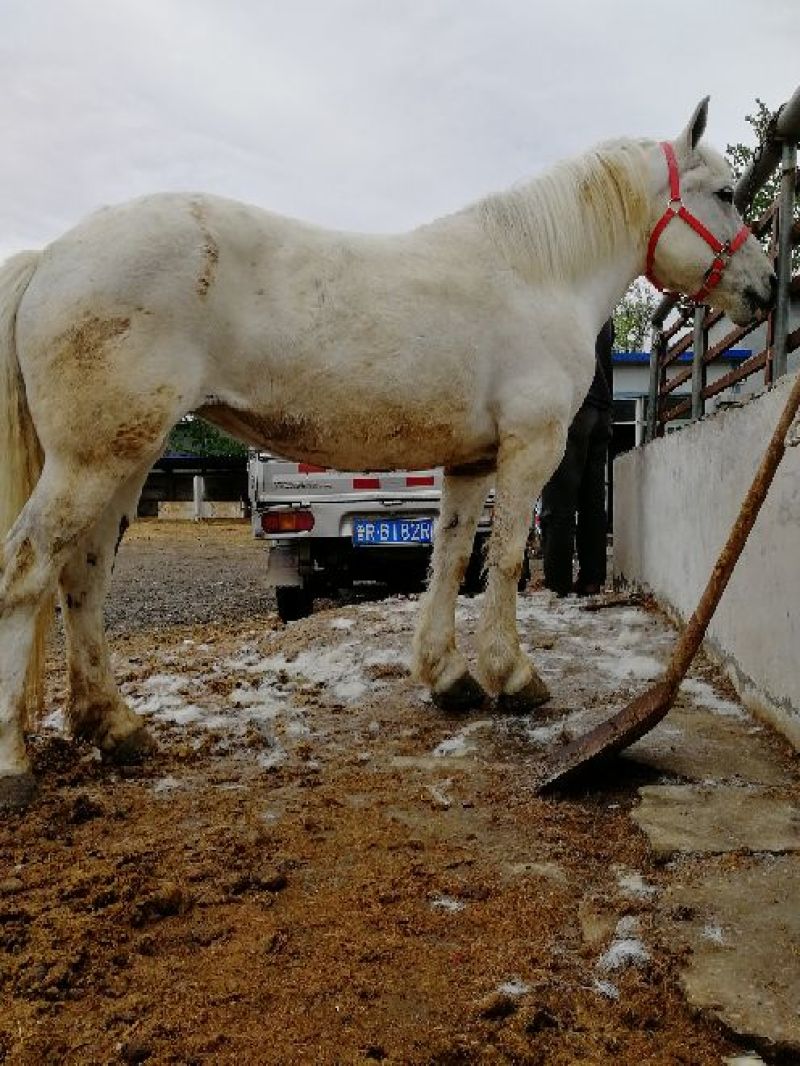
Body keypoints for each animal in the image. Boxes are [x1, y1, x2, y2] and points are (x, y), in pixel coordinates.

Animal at [0, 98, 775, 808]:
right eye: (726, 193)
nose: (768, 287)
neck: (536, 275)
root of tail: (52, 257)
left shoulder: (469, 463)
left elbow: (451, 556)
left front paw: (448, 676)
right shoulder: (531, 448)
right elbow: (506, 558)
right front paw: (513, 676)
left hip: (124, 459)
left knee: (83, 577)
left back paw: (115, 726)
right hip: (90, 462)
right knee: (28, 571)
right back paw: (15, 764)